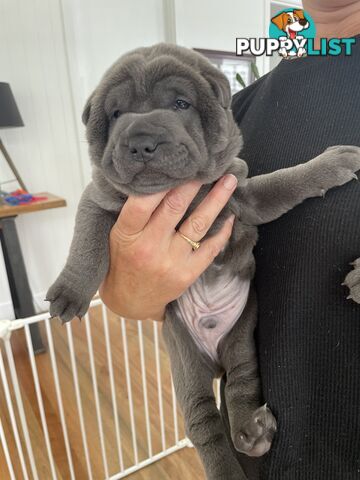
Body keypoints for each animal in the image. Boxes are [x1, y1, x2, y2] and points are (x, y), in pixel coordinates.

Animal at [46, 43, 360, 478]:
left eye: (181, 104)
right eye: (116, 114)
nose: (141, 140)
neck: (181, 193)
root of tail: (213, 360)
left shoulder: (243, 195)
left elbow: (287, 180)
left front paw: (332, 163)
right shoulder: (99, 198)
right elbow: (87, 242)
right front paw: (70, 292)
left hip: (241, 336)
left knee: (241, 383)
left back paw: (252, 431)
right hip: (185, 361)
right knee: (204, 423)